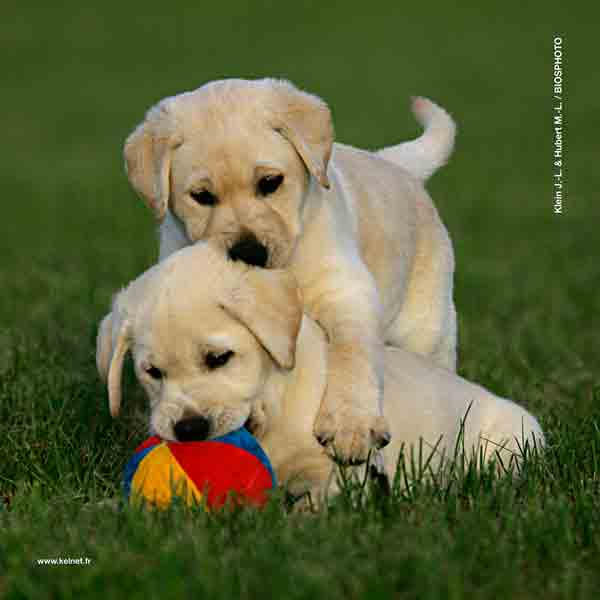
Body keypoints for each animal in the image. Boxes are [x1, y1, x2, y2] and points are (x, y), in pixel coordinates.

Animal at [97, 242, 544, 504]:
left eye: (219, 358)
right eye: (152, 372)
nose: (189, 429)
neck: (275, 407)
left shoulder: (338, 472)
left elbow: (316, 503)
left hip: (511, 441)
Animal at [122, 78, 458, 464]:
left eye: (270, 182)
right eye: (202, 196)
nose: (249, 252)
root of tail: (391, 161)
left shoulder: (346, 291)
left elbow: (352, 352)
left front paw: (351, 424)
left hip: (427, 328)